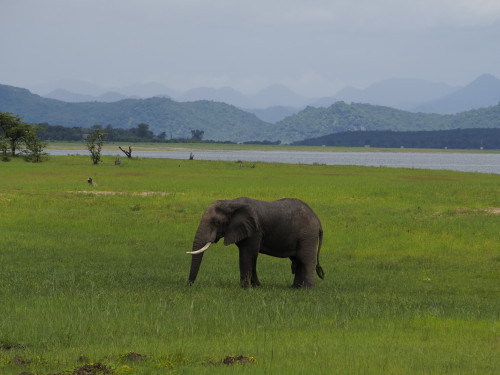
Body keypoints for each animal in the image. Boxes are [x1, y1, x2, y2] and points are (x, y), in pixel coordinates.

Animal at [187, 198, 324, 290]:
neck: (230, 203)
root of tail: (318, 219)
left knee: (306, 259)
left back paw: (307, 290)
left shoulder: (255, 230)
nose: (188, 286)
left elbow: (247, 255)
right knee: (298, 259)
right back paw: (295, 288)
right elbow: (251, 257)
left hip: (307, 235)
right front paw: (257, 287)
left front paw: (244, 289)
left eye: (216, 222)